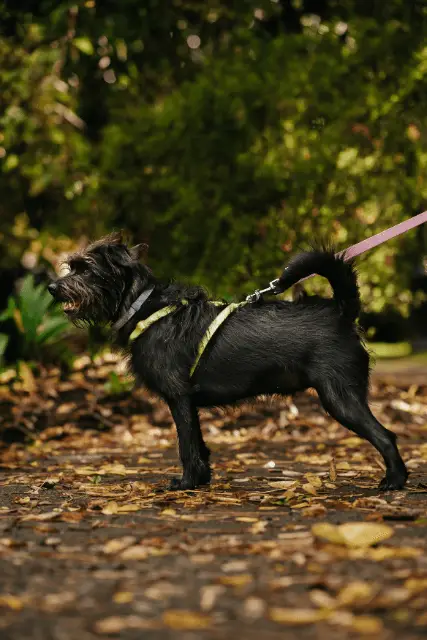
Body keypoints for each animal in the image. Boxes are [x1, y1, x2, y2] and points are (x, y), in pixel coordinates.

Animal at [48, 234, 410, 490]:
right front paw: (201, 480)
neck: (143, 306)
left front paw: (186, 484)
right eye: (71, 266)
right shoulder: (188, 403)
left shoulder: (179, 398)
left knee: (386, 436)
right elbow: (200, 445)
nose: (52, 287)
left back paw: (394, 481)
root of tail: (341, 311)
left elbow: (186, 445)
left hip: (340, 397)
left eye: (86, 268)